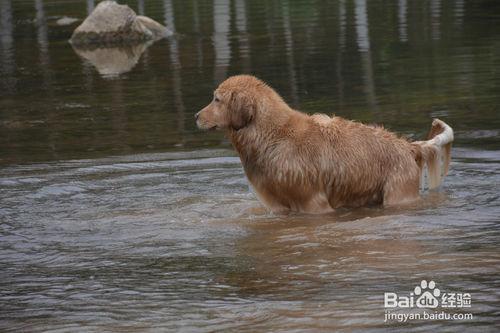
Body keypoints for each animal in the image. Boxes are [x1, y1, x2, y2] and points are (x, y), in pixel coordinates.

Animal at [195, 75, 454, 213]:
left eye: (216, 99)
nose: (196, 116)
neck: (272, 135)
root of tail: (407, 145)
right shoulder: (276, 203)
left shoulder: (313, 202)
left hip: (397, 193)